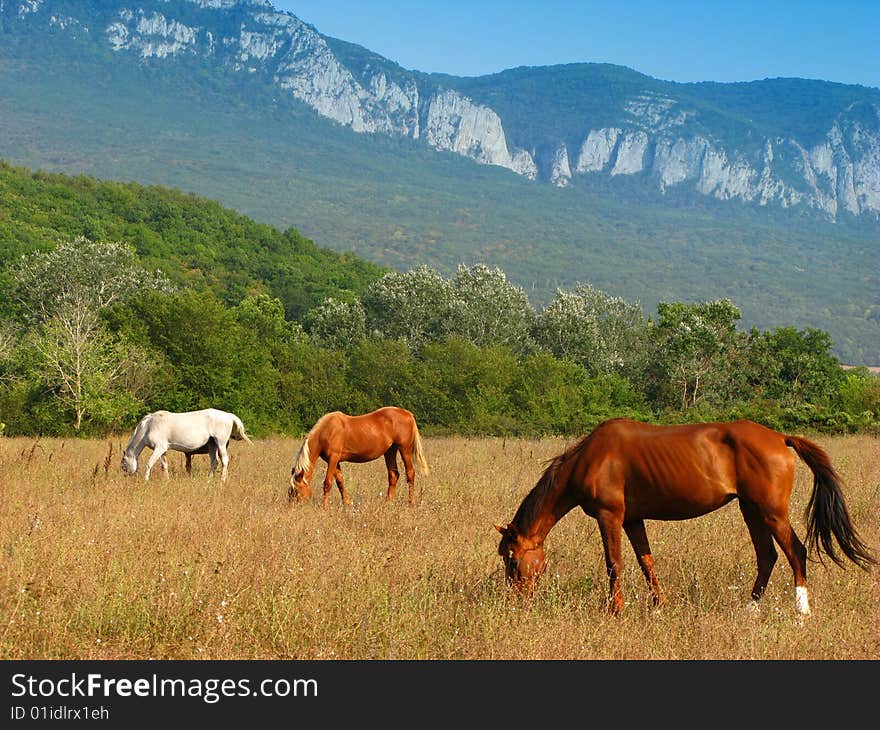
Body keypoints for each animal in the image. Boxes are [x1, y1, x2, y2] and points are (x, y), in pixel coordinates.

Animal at [121, 406, 251, 480]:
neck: (148, 426)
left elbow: (149, 464)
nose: (128, 477)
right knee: (214, 462)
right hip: (212, 445)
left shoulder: (159, 448)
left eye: (124, 466)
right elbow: (164, 465)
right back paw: (209, 480)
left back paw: (222, 480)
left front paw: (146, 480)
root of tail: (229, 416)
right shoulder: (162, 450)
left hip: (221, 443)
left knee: (224, 461)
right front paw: (166, 480)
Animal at [288, 404, 428, 506]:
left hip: (404, 449)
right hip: (390, 451)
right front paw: (347, 503)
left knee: (410, 473)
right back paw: (387, 503)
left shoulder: (333, 458)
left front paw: (324, 507)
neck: (326, 431)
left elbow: (327, 483)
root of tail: (408, 414)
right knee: (394, 475)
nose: (292, 507)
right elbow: (340, 482)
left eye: (295, 491)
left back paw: (410, 502)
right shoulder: (334, 461)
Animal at [498, 420, 876, 616]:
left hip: (771, 512)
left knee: (795, 552)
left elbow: (614, 563)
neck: (591, 458)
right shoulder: (633, 520)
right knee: (766, 556)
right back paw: (750, 611)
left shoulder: (610, 516)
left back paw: (801, 613)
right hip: (750, 510)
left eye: (513, 560)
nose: (516, 603)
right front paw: (659, 606)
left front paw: (615, 610)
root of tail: (781, 438)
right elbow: (646, 561)